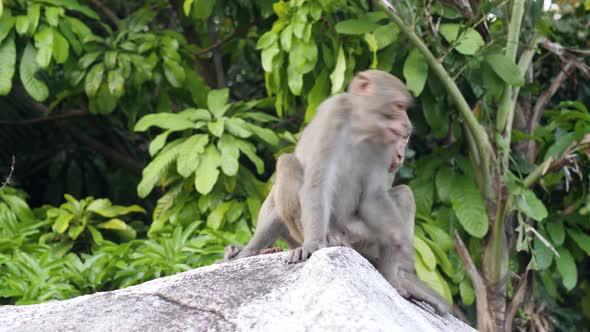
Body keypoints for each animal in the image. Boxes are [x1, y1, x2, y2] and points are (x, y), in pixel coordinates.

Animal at [224, 70, 450, 314]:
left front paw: (401, 246)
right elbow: (318, 182)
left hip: (360, 240)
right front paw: (311, 246)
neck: (362, 128)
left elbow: (373, 196)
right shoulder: (333, 114)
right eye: (398, 106)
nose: (400, 153)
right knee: (287, 164)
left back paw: (391, 279)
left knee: (403, 195)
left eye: (405, 137)